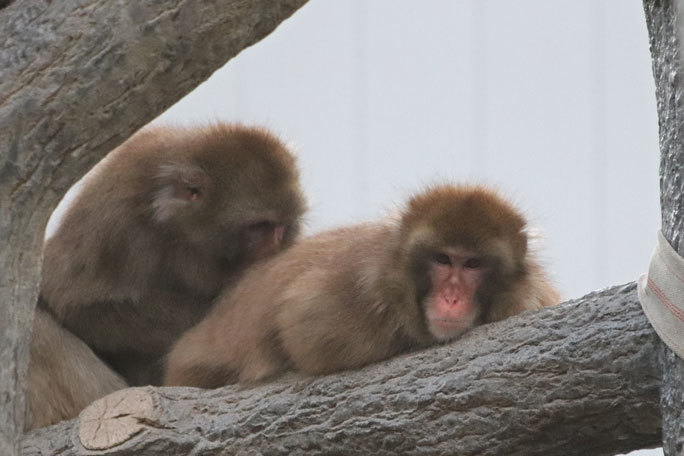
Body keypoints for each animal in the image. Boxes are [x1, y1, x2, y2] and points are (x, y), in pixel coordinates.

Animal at [26, 123, 304, 430]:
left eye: (282, 227)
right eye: (259, 226)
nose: (275, 247)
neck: (180, 237)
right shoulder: (113, 222)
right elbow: (77, 304)